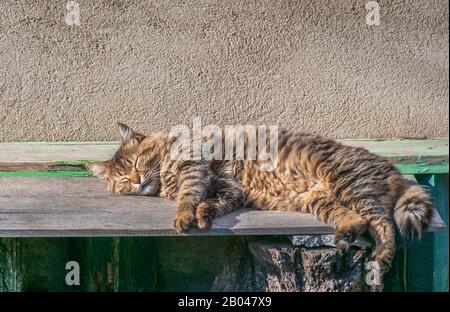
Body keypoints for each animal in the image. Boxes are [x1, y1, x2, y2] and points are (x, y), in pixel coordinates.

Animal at [86, 123, 434, 280]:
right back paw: (344, 235)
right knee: (359, 221)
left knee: (383, 224)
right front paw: (203, 217)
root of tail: (392, 168)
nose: (135, 180)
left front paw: (184, 217)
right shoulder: (229, 189)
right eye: (121, 178)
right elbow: (211, 204)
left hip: (350, 186)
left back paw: (382, 256)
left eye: (136, 163)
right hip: (321, 200)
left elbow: (188, 198)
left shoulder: (194, 168)